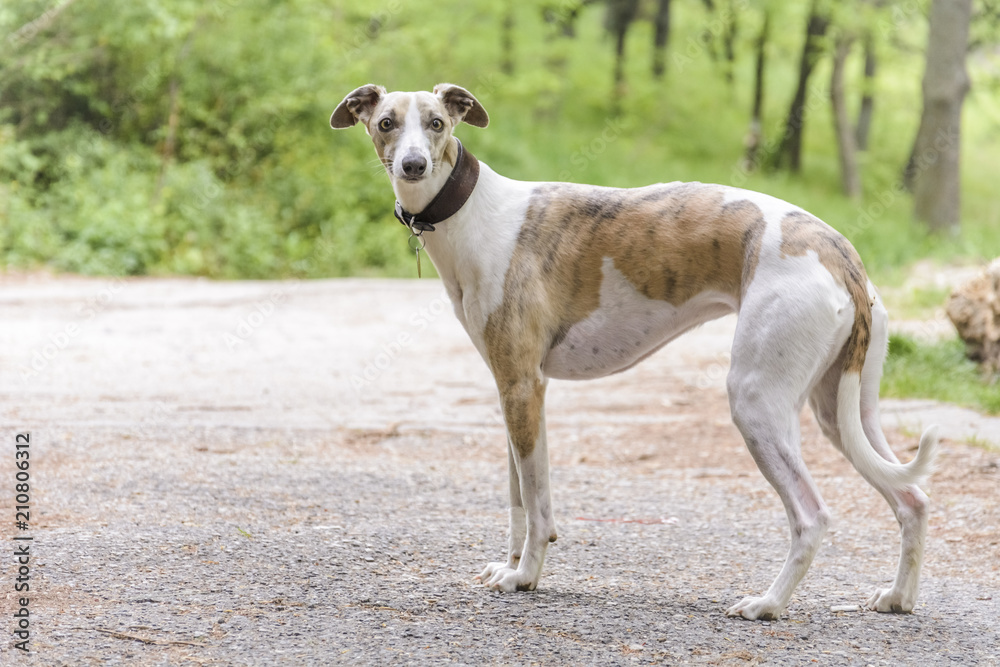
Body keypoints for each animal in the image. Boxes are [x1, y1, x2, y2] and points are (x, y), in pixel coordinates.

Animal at [330, 83, 936, 620]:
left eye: (436, 123)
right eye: (386, 123)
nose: (412, 166)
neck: (475, 213)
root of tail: (840, 252)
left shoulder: (522, 386)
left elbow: (536, 499)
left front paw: (525, 576)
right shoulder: (514, 386)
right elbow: (519, 497)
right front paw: (510, 566)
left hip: (757, 401)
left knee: (812, 515)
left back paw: (768, 604)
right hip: (842, 407)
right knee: (912, 498)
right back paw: (898, 598)